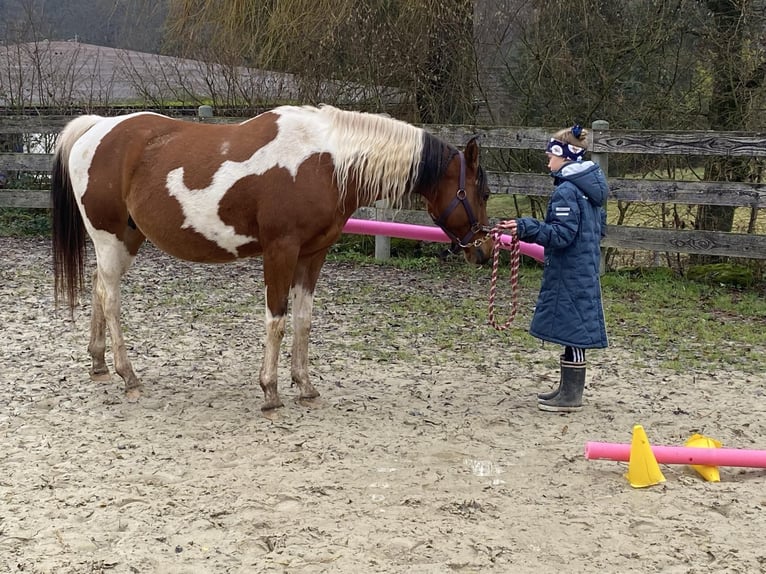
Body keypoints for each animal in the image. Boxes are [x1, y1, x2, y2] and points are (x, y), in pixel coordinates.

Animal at [51, 104, 494, 410]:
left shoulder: (312, 255)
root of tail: (96, 127)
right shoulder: (281, 250)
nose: (487, 251)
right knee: (111, 300)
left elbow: (303, 321)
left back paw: (99, 364)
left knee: (99, 289)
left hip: (126, 240)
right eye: (484, 192)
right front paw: (270, 391)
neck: (325, 162)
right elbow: (276, 320)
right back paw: (128, 376)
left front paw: (305, 385)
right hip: (110, 239)